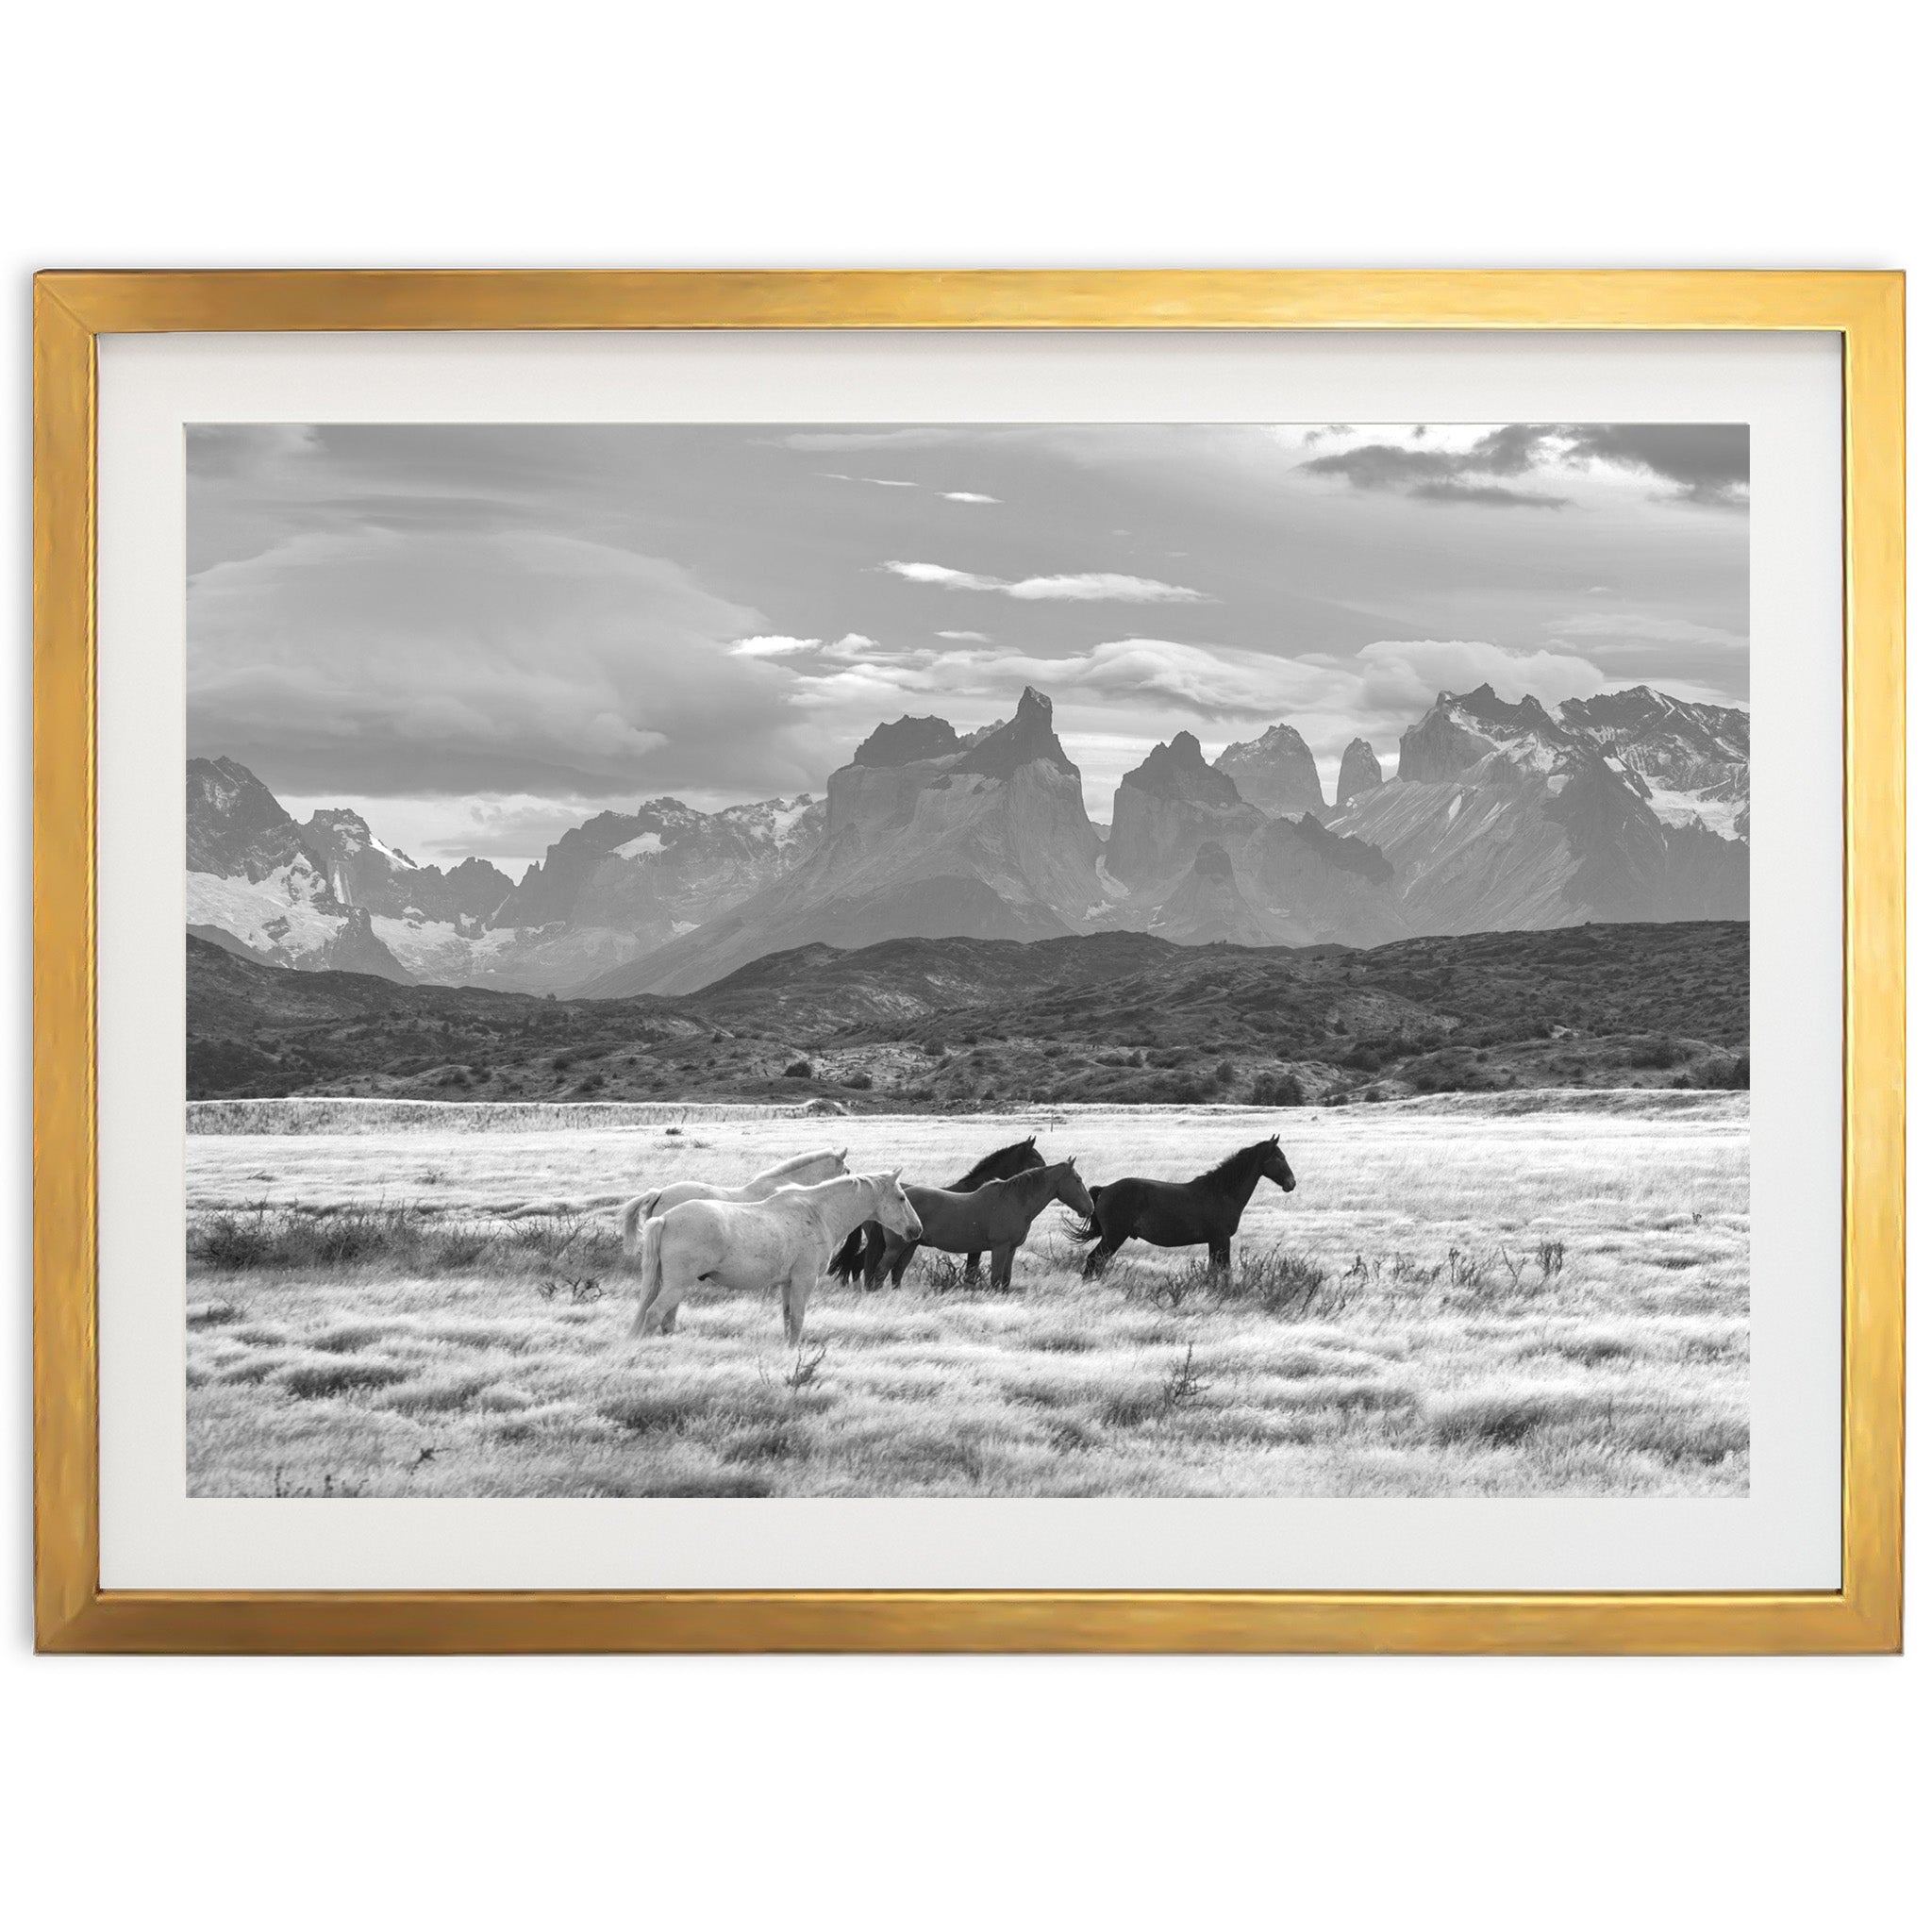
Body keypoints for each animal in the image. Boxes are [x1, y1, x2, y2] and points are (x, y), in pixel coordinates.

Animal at [622, 1166, 915, 1352]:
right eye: (901, 1197)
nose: (916, 1229)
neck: (817, 1213)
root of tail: (665, 1218)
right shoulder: (804, 1281)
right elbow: (797, 1318)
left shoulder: (788, 1284)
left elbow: (787, 1318)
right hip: (676, 1285)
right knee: (654, 1314)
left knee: (663, 1318)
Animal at [826, 1128, 1051, 1291]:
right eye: (1036, 1158)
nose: (1045, 1170)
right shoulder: (976, 1247)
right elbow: (971, 1272)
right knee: (860, 1264)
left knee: (857, 1263)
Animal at [873, 1151, 1090, 1291]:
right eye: (1078, 1180)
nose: (1090, 1207)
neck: (1014, 1200)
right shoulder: (1000, 1247)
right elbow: (995, 1279)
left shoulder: (1011, 1249)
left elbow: (1006, 1280)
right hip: (896, 1246)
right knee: (881, 1272)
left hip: (910, 1245)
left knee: (897, 1272)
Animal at [1074, 1128, 1298, 1282]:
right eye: (1280, 1157)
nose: (1291, 1183)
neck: (1222, 1192)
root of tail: (1105, 1189)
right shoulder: (1221, 1239)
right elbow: (1224, 1270)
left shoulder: (1214, 1242)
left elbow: (1214, 1270)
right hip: (1114, 1237)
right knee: (1094, 1260)